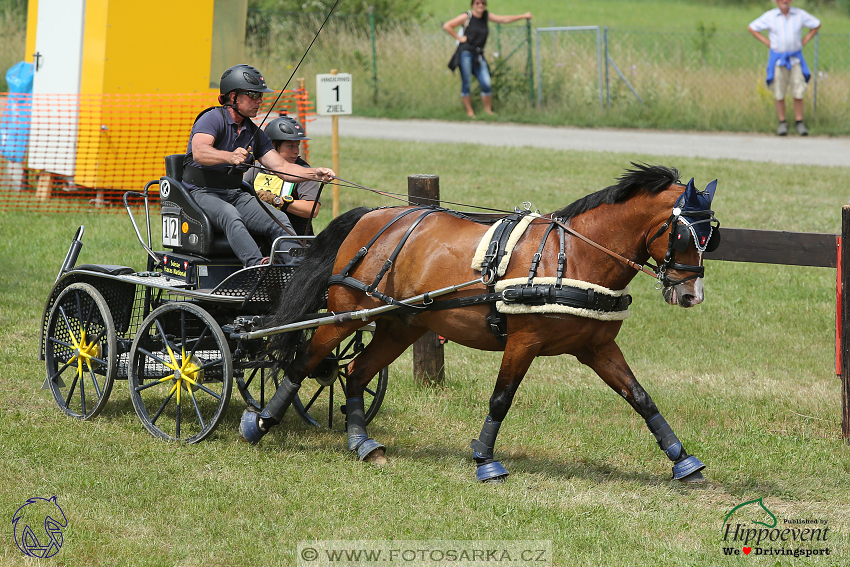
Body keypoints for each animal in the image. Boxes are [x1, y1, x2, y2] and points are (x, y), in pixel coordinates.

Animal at [237, 163, 716, 484]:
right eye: (682, 234)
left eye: (711, 235)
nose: (691, 295)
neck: (574, 257)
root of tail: (373, 215)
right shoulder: (524, 342)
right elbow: (501, 399)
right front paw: (486, 460)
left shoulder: (596, 347)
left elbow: (641, 398)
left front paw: (683, 460)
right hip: (344, 317)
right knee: (303, 363)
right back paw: (259, 423)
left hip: (399, 326)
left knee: (355, 372)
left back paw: (363, 443)